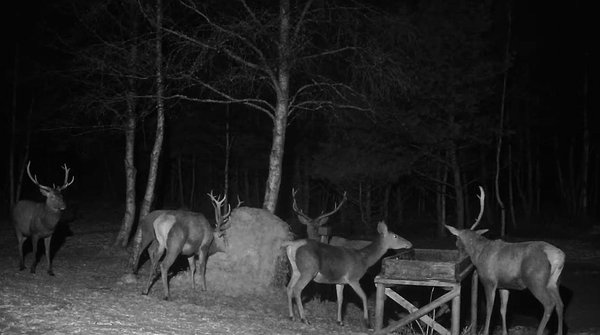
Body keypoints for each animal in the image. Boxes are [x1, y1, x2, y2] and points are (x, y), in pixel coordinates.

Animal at [442, 186, 564, 335]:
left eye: (456, 242)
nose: (457, 259)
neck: (478, 255)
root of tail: (558, 256)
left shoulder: (489, 280)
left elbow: (490, 309)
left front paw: (486, 331)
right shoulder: (504, 285)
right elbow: (503, 309)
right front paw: (505, 332)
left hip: (536, 280)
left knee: (549, 304)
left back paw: (539, 331)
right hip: (554, 282)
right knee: (560, 304)